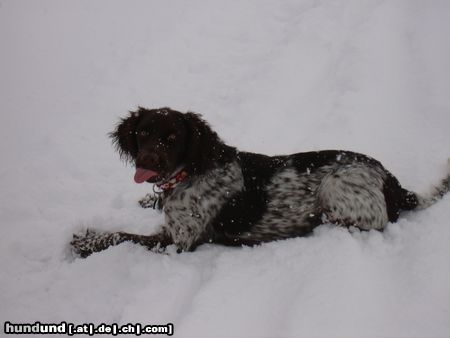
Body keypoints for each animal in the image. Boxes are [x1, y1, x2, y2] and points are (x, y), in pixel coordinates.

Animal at [70, 107, 450, 258]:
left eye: (173, 138)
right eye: (143, 133)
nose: (146, 162)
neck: (188, 173)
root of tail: (393, 182)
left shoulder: (180, 241)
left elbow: (123, 236)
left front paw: (85, 242)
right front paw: (147, 200)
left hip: (336, 184)